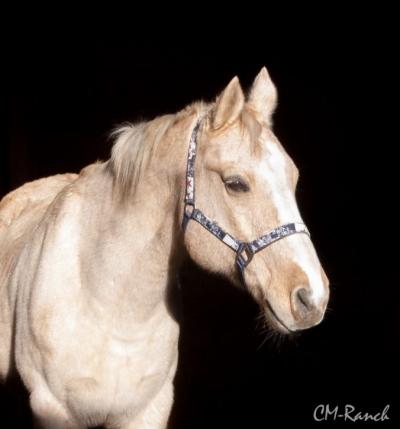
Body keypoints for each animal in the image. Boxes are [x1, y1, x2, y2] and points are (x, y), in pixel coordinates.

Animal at [0, 67, 328, 428]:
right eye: (236, 184)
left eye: (293, 178)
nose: (312, 298)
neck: (109, 304)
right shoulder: (53, 409)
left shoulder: (149, 411)